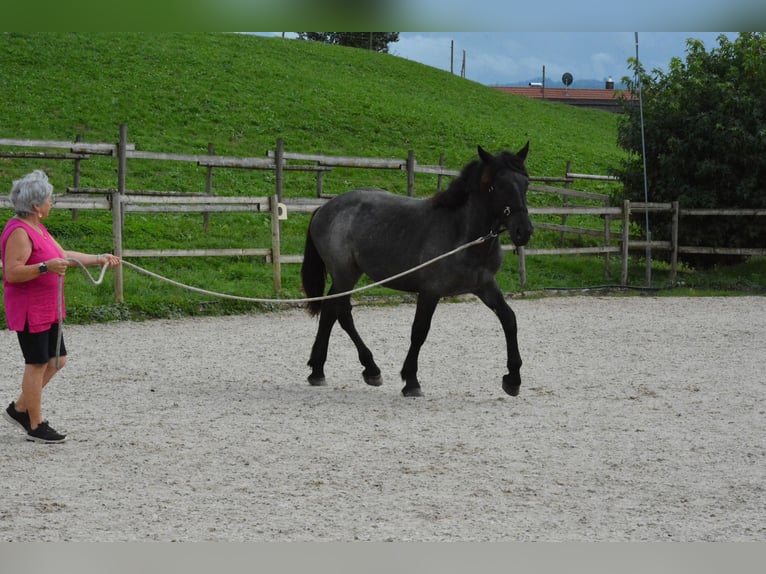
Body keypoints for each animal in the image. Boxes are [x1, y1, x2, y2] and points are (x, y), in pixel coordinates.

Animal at [300, 144, 536, 398]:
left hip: (347, 275)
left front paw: (513, 379)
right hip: (344, 274)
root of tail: (325, 207)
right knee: (343, 313)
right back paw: (371, 368)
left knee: (329, 311)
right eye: (497, 185)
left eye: (526, 183)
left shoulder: (485, 286)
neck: (462, 233)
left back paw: (318, 370)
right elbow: (420, 331)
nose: (524, 231)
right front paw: (411, 380)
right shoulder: (430, 291)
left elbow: (509, 320)